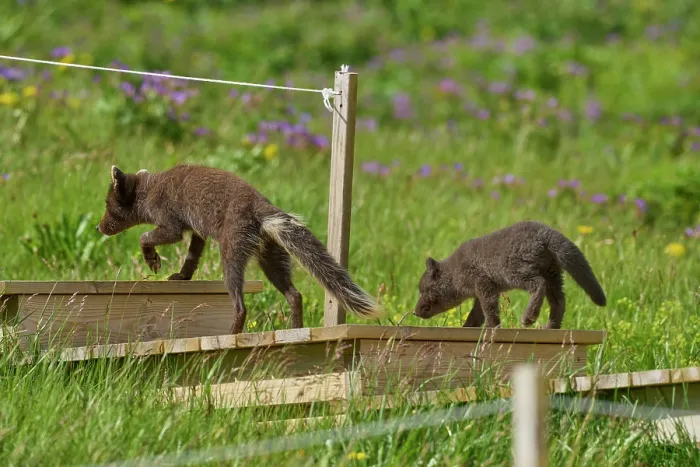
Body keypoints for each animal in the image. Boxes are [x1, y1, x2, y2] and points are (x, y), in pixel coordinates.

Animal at [96, 163, 383, 334]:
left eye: (109, 206)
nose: (98, 228)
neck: (149, 189)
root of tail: (263, 206)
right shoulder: (198, 231)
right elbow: (192, 256)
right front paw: (182, 275)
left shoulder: (171, 225)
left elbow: (145, 236)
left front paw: (152, 259)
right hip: (271, 259)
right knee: (295, 295)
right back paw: (294, 329)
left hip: (232, 254)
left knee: (241, 305)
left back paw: (232, 334)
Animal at [412, 220, 606, 330]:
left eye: (423, 291)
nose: (414, 312)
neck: (455, 274)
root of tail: (547, 232)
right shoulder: (486, 291)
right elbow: (476, 314)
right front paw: (467, 327)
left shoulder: (484, 285)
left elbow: (489, 310)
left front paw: (491, 327)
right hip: (554, 276)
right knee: (559, 301)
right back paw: (551, 326)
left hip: (518, 274)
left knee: (539, 285)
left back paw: (529, 318)